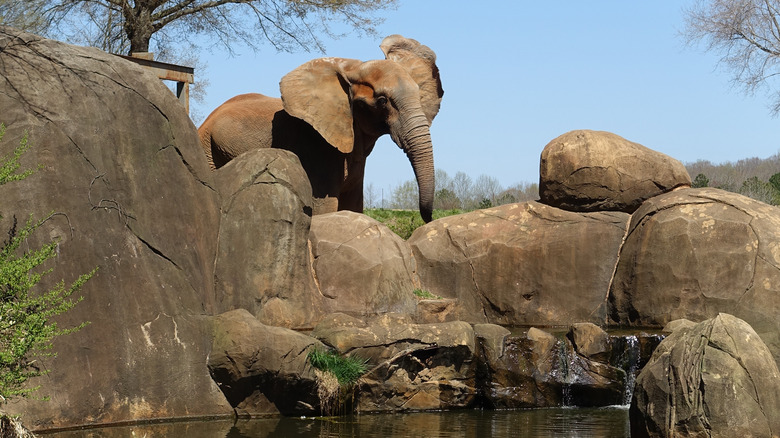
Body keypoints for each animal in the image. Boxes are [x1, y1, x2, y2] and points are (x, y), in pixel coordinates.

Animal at [200, 34, 444, 222]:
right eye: (383, 101)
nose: (428, 218)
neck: (353, 68)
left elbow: (353, 206)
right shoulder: (317, 146)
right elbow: (323, 208)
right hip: (207, 147)